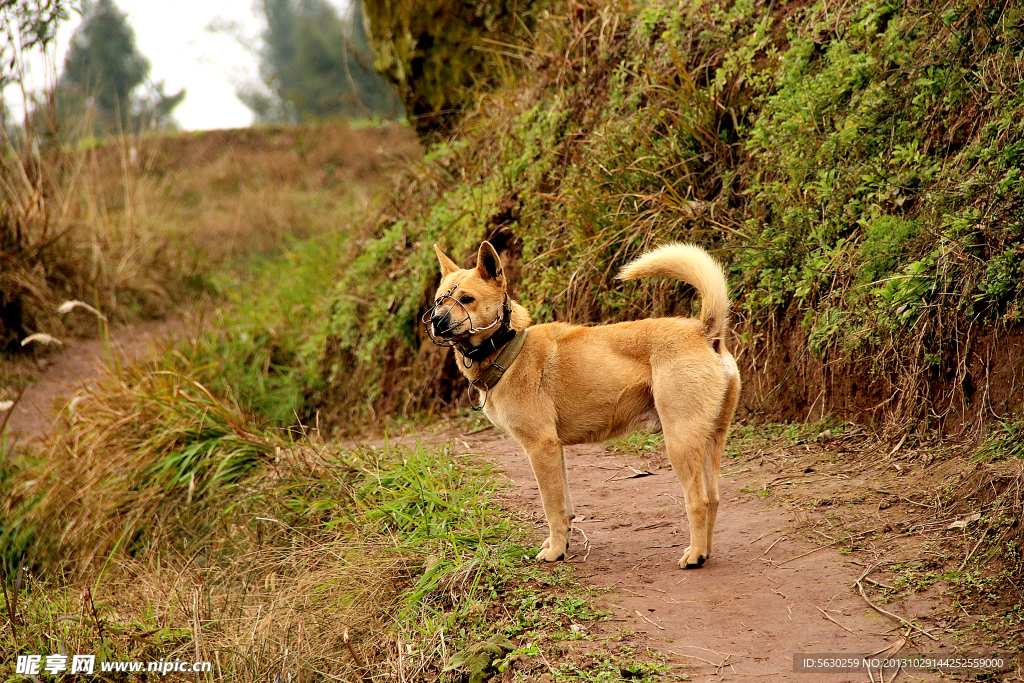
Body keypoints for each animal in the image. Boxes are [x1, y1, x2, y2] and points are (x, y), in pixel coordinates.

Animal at [423, 240, 737, 565]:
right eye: (438, 302)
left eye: (467, 299)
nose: (436, 321)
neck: (509, 349)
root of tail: (704, 331)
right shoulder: (554, 449)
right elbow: (564, 507)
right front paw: (561, 543)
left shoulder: (540, 446)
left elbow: (551, 507)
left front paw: (555, 551)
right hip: (711, 440)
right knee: (713, 498)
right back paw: (704, 551)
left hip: (679, 441)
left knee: (698, 500)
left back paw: (695, 555)